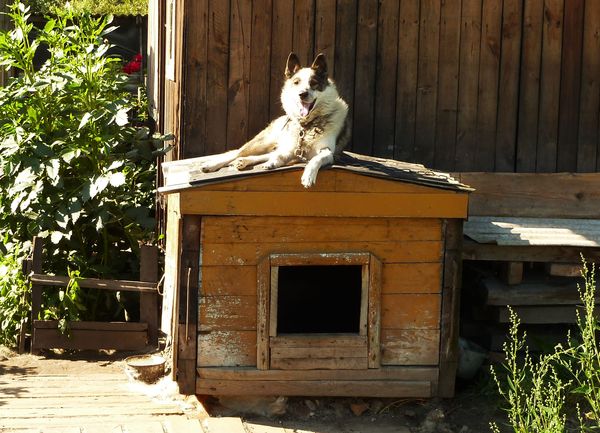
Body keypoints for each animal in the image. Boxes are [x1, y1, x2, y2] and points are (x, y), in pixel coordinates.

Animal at [202, 52, 352, 187]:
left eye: (313, 83)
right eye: (296, 83)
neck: (307, 125)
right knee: (237, 153)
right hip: (262, 142)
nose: (302, 94)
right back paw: (212, 165)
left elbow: (315, 159)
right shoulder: (291, 149)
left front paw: (308, 176)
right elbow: (279, 156)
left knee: (263, 154)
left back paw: (244, 161)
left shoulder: (327, 152)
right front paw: (273, 163)